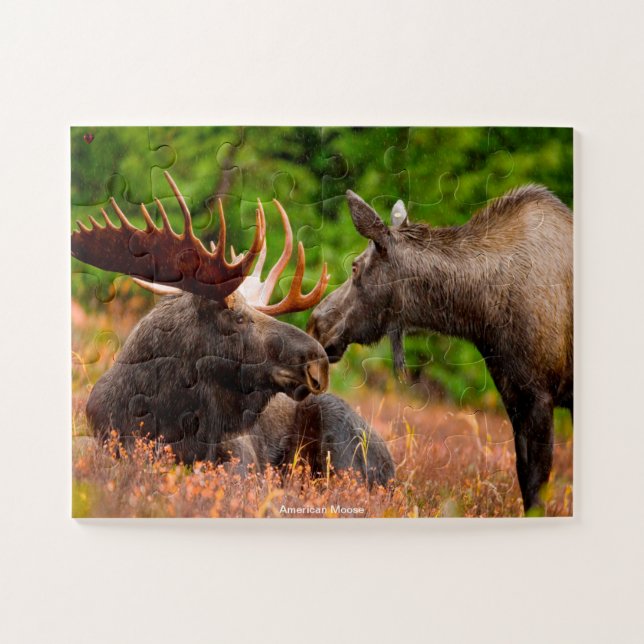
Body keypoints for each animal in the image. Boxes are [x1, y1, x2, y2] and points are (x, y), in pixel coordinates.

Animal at [307, 186, 573, 513]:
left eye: (355, 267)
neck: (482, 313)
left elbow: (536, 488)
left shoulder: (540, 395)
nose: (316, 324)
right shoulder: (515, 396)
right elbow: (525, 481)